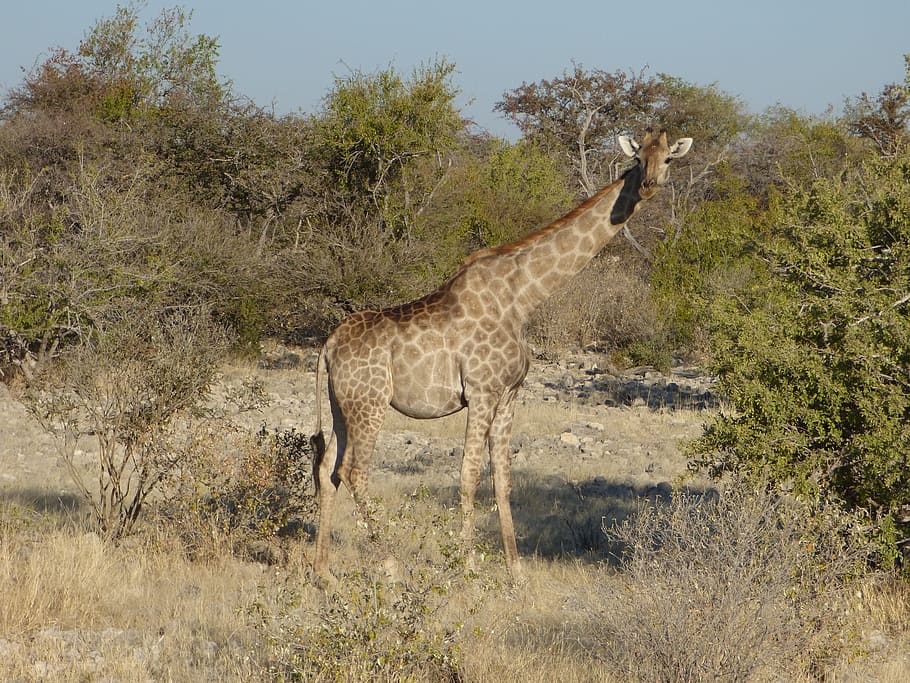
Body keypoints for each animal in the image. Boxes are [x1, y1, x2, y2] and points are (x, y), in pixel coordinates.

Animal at [310, 128, 693, 583]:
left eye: (667, 159)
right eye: (638, 158)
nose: (649, 185)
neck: (523, 297)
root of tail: (329, 347)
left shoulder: (510, 394)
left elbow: (502, 479)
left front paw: (516, 569)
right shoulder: (482, 392)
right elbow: (468, 473)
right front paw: (469, 564)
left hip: (341, 405)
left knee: (327, 468)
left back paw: (322, 570)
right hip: (370, 403)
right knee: (354, 472)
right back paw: (387, 565)